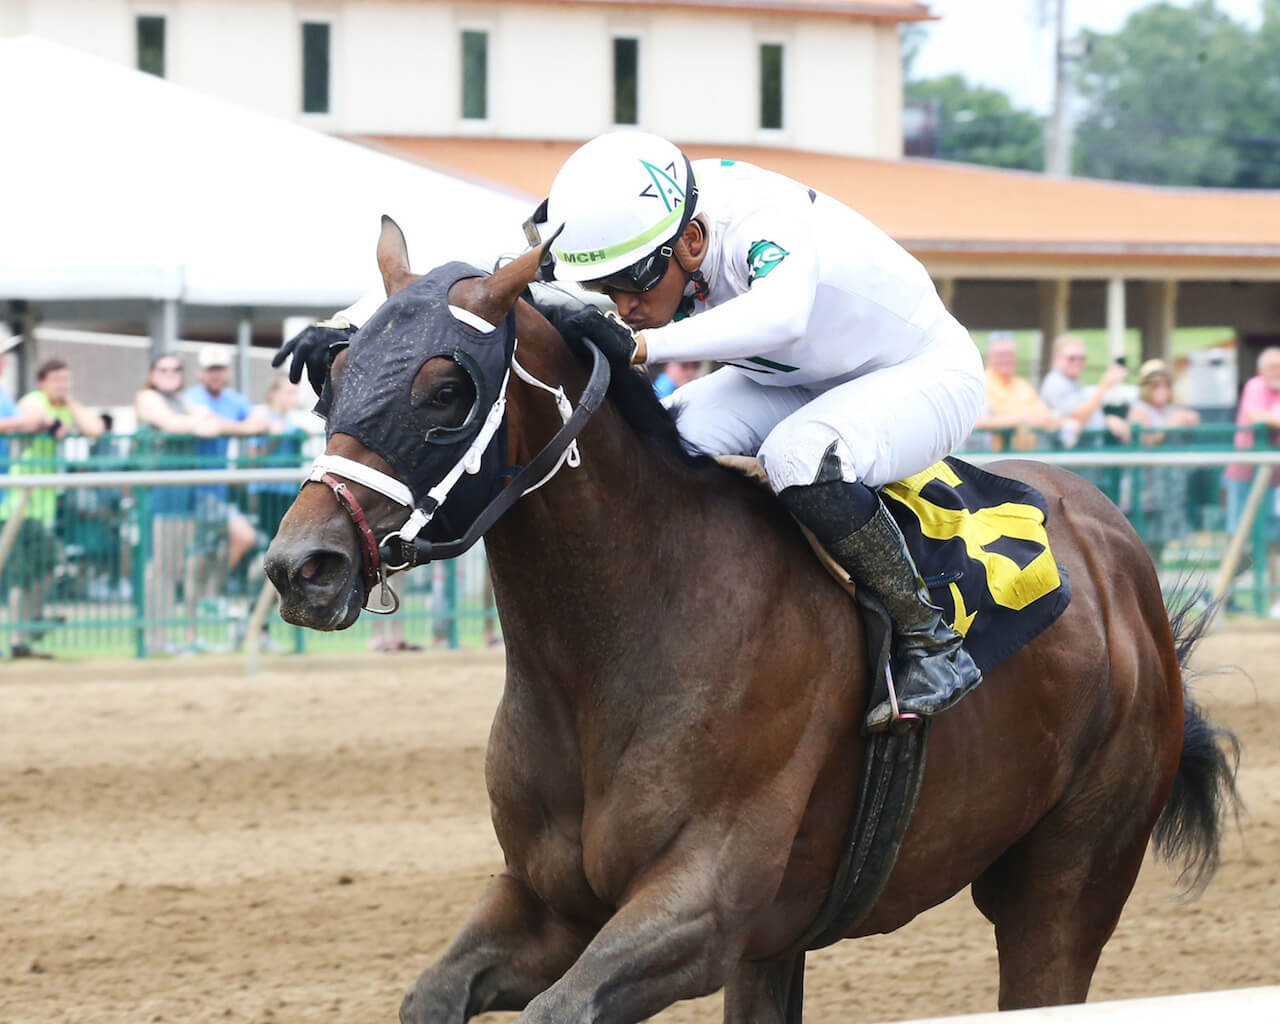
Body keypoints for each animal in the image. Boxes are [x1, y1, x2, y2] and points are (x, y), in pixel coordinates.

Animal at [267, 224, 1239, 1024]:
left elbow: (560, 1009)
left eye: (444, 389)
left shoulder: (701, 906)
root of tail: (1120, 555)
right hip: (784, 943)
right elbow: (433, 995)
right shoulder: (551, 903)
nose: (302, 564)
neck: (622, 639)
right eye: (335, 376)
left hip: (1065, 881)